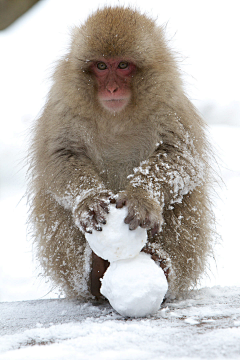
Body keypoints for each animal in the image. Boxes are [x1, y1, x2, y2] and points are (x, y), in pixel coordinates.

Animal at [27, 7, 214, 302]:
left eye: (123, 65)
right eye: (102, 66)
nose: (112, 89)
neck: (117, 115)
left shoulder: (170, 102)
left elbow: (182, 157)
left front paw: (142, 198)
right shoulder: (63, 102)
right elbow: (60, 156)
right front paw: (89, 200)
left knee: (186, 198)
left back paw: (160, 262)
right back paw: (92, 273)